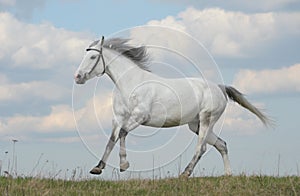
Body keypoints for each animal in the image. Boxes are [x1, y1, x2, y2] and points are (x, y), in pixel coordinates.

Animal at [74, 36, 272, 177]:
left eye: (93, 56)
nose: (78, 77)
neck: (130, 84)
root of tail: (219, 87)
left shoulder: (140, 117)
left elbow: (123, 133)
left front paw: (124, 165)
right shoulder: (118, 118)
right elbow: (112, 139)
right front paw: (98, 168)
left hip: (206, 119)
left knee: (201, 147)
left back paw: (185, 173)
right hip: (195, 125)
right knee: (221, 144)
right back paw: (228, 175)